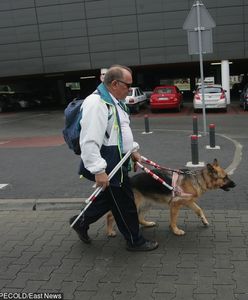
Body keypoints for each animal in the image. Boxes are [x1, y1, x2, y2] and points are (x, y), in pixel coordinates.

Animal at [105, 158, 235, 238]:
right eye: (225, 177)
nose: (235, 184)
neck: (198, 179)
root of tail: (128, 181)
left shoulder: (188, 201)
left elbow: (199, 210)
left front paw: (204, 221)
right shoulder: (175, 204)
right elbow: (174, 219)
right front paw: (175, 230)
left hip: (147, 204)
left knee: (140, 217)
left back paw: (147, 223)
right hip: (134, 204)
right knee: (110, 215)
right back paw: (110, 231)